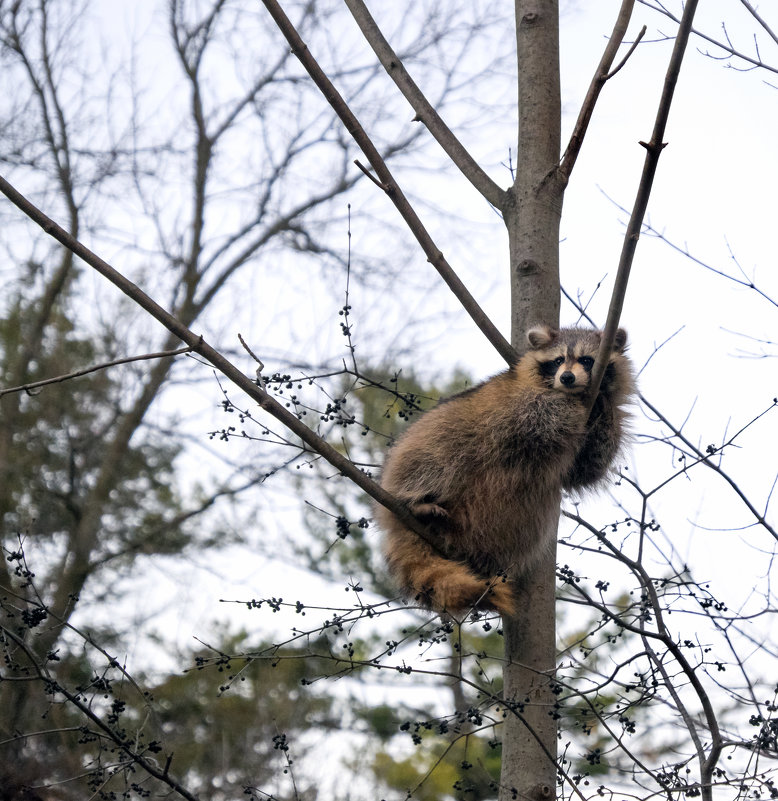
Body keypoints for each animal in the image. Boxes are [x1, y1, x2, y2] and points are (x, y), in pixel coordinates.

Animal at [372, 324, 632, 620]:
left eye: (587, 360)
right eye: (557, 361)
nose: (566, 378)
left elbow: (586, 469)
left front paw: (604, 412)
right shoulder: (515, 403)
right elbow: (538, 415)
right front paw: (569, 405)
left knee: (538, 509)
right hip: (424, 441)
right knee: (439, 451)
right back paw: (415, 501)